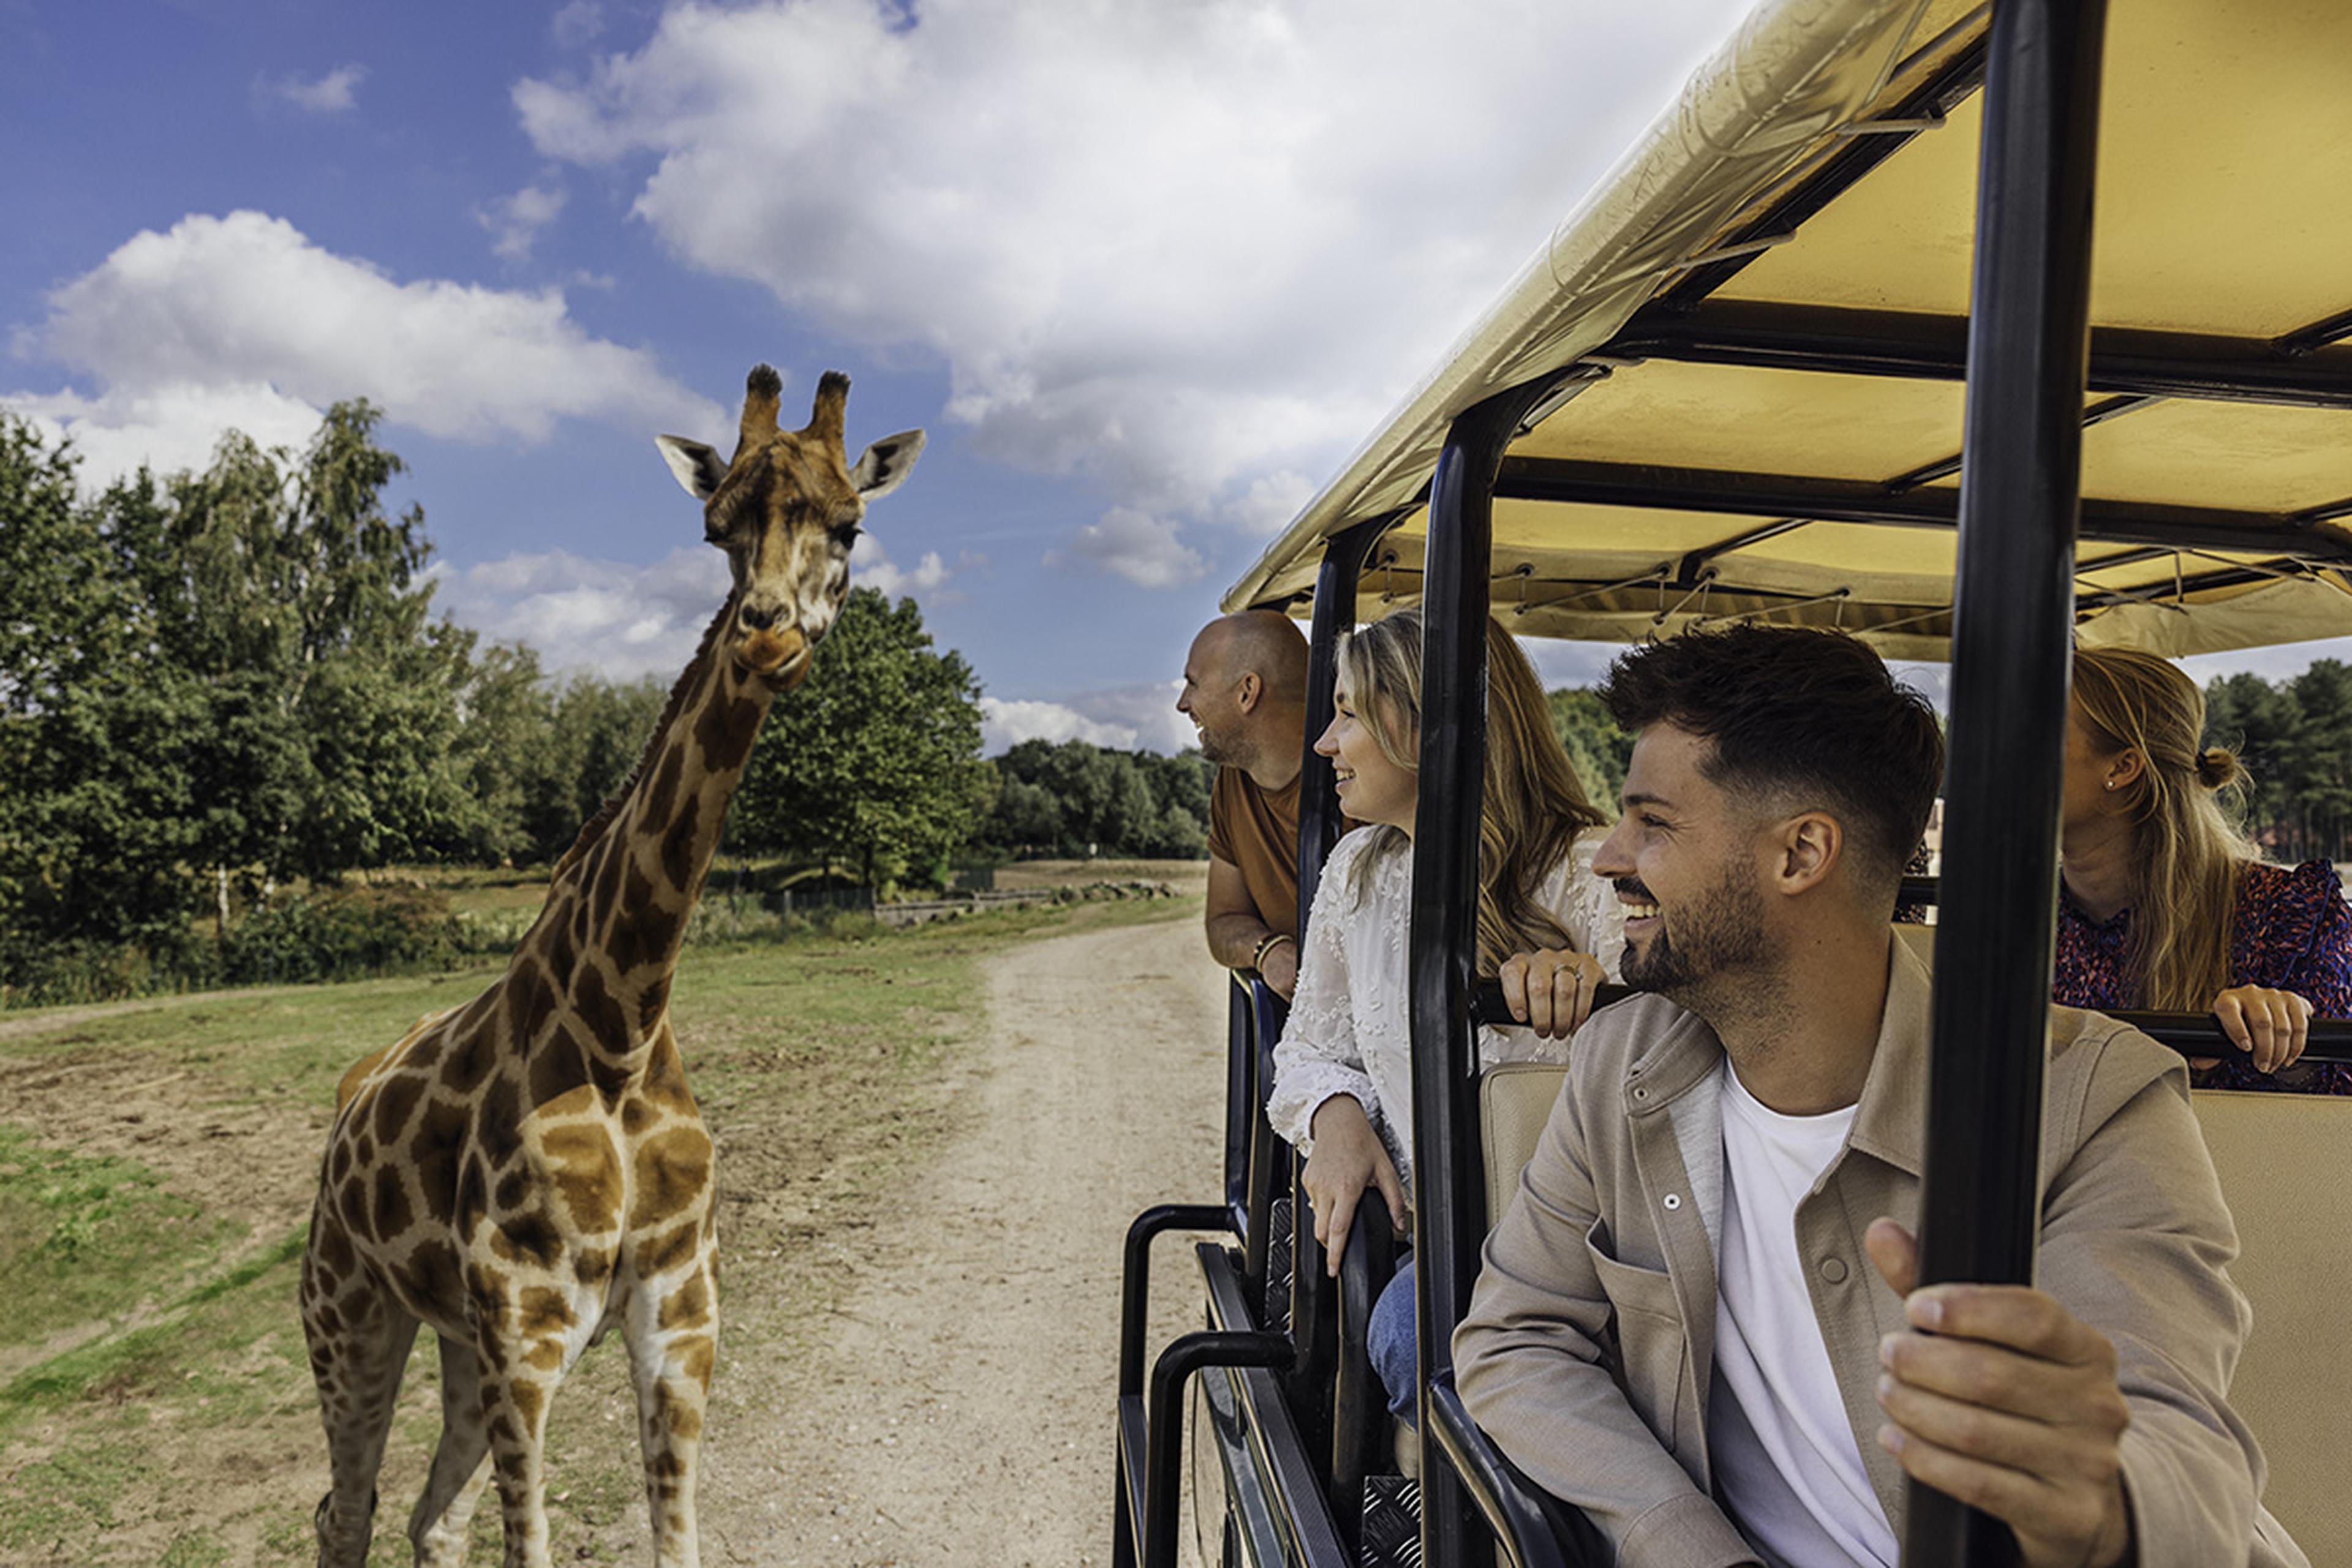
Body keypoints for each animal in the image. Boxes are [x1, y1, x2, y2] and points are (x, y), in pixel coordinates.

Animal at [299, 366, 923, 1568]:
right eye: (715, 527)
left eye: (851, 527)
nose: (766, 637)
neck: (621, 1024)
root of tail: (345, 1106)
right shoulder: (528, 1330)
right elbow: (529, 1544)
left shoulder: (681, 1312)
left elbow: (676, 1539)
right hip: (349, 1308)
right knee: (344, 1511)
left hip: (450, 1337)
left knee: (429, 1519)